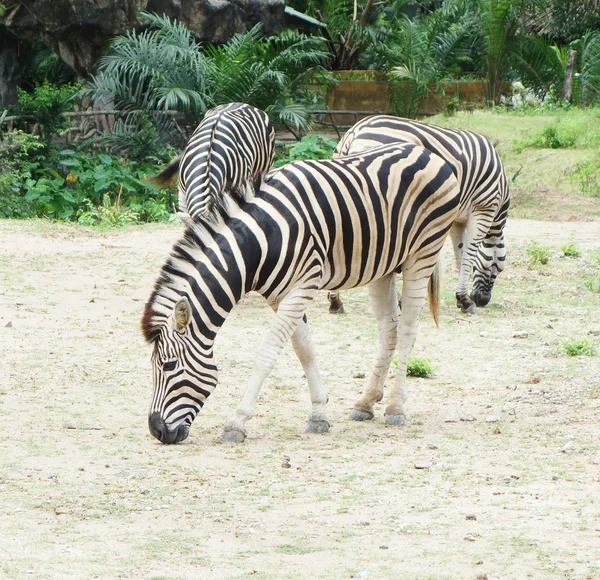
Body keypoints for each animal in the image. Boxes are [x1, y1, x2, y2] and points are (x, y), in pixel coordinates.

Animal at [141, 143, 460, 442]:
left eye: (168, 365)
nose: (157, 431)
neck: (261, 242)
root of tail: (425, 152)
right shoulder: (280, 294)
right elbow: (304, 349)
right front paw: (319, 413)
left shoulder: (303, 285)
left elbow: (267, 353)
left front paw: (237, 421)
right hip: (384, 265)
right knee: (389, 329)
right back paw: (366, 402)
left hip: (422, 254)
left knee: (407, 329)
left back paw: (395, 408)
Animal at [328, 115, 510, 314]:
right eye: (497, 268)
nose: (483, 300)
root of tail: (355, 131)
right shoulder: (483, 209)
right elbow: (469, 255)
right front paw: (465, 300)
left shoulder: (458, 221)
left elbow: (460, 254)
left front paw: (462, 298)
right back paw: (396, 301)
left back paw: (335, 301)